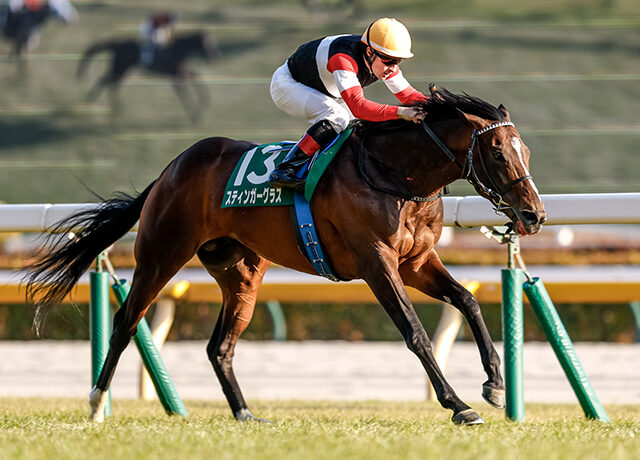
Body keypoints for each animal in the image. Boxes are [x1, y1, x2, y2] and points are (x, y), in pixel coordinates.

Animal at [24, 88, 546, 425]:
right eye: (498, 152)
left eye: (525, 149)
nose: (534, 214)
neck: (395, 175)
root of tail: (171, 168)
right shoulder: (376, 263)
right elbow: (415, 333)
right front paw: (459, 405)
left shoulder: (416, 263)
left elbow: (469, 301)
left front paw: (494, 384)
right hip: (160, 255)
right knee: (126, 322)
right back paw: (95, 403)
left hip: (241, 273)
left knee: (219, 347)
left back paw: (245, 414)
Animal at [77, 32, 219, 122]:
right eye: (208, 44)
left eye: (212, 43)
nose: (215, 58)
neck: (178, 50)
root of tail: (117, 43)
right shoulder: (177, 76)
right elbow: (185, 93)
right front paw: (194, 115)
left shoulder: (183, 73)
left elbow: (197, 80)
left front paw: (204, 104)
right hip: (120, 69)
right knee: (106, 82)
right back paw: (98, 103)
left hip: (122, 70)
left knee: (109, 82)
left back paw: (112, 106)